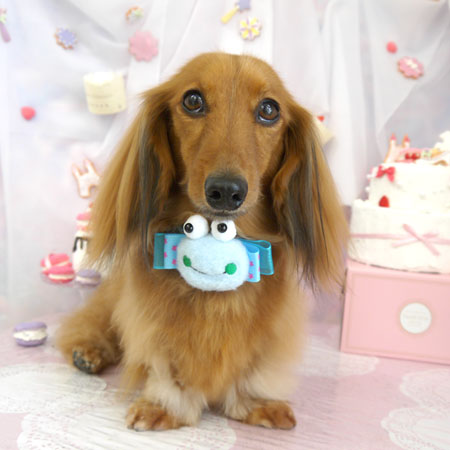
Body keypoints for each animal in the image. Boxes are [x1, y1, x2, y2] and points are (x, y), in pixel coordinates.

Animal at [57, 52, 348, 431]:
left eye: (269, 109)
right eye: (192, 101)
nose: (226, 191)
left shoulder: (272, 328)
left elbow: (255, 368)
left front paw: (257, 401)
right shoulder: (152, 321)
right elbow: (166, 366)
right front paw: (165, 404)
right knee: (93, 321)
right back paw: (88, 351)